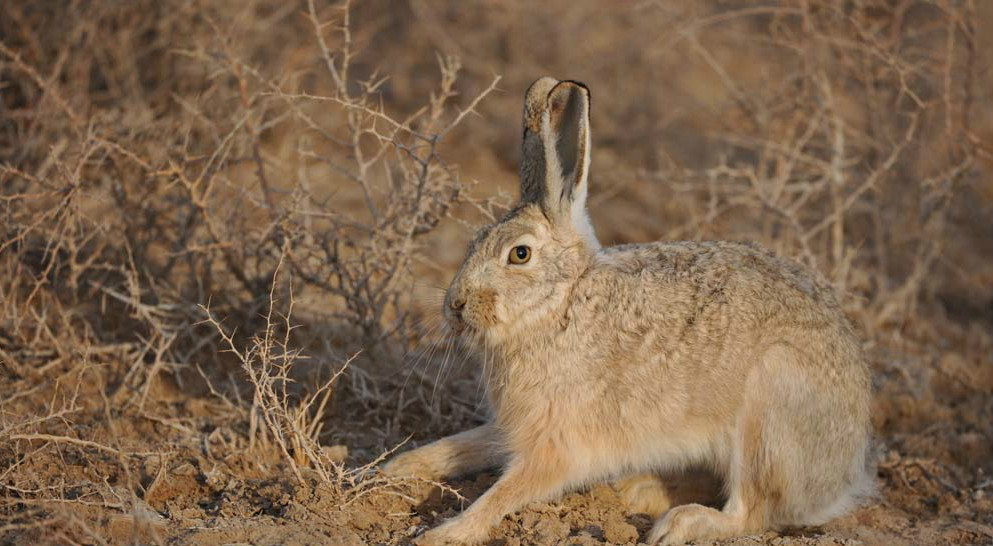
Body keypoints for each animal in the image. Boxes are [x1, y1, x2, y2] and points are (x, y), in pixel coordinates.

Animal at [384, 77, 872, 544]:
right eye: (473, 241)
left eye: (519, 254)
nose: (455, 305)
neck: (562, 305)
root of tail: (845, 472)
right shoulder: (512, 428)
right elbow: (459, 446)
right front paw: (391, 469)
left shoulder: (557, 444)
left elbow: (503, 493)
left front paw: (443, 533)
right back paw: (640, 488)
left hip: (766, 413)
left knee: (752, 511)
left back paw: (680, 523)